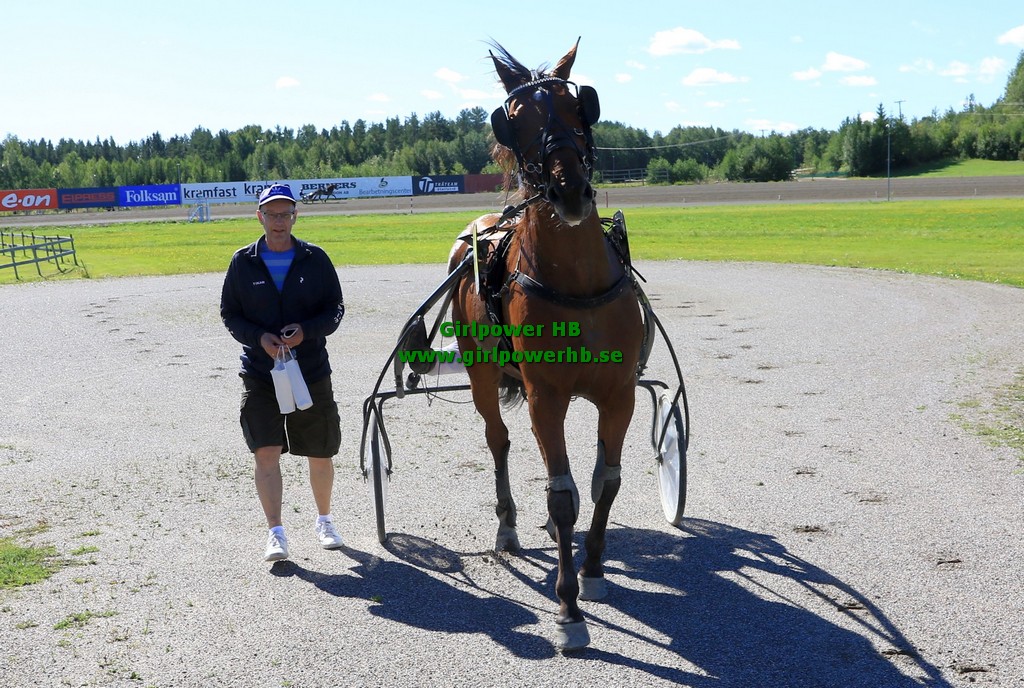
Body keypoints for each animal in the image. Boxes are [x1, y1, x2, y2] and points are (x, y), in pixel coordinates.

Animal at [446, 39, 643, 650]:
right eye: (514, 119)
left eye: (581, 105)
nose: (569, 189)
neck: (577, 282)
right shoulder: (544, 397)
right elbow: (562, 494)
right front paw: (568, 609)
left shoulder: (619, 394)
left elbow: (606, 482)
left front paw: (594, 570)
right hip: (484, 376)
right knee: (499, 440)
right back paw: (508, 524)